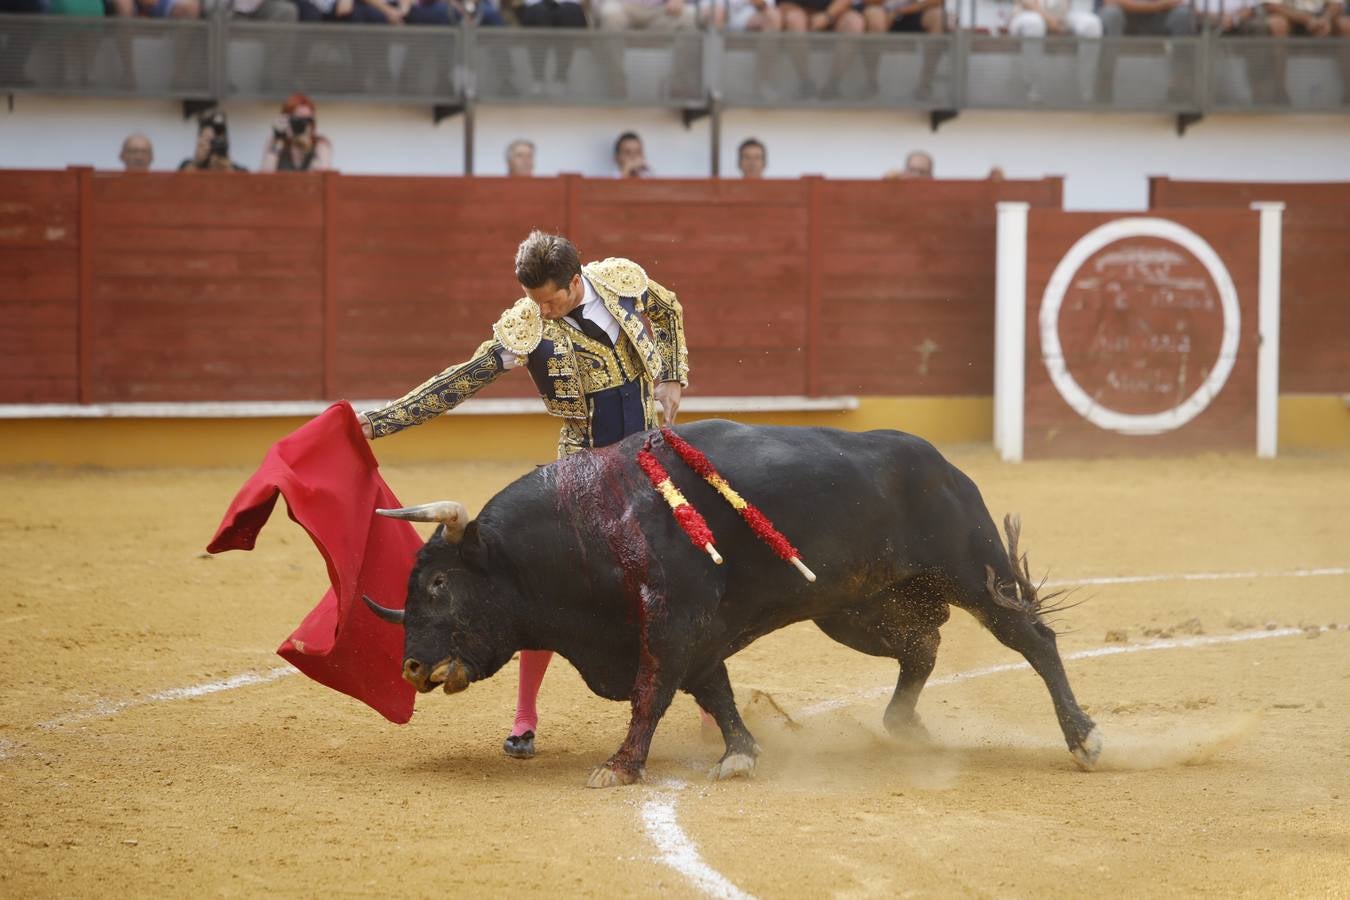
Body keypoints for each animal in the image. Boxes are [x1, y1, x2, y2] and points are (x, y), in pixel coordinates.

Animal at [367, 418, 1096, 782]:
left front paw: (620, 767)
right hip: (857, 609)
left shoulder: (673, 621)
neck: (589, 522)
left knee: (1031, 639)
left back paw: (1083, 738)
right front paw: (740, 752)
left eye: (438, 584)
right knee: (922, 648)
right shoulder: (692, 632)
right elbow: (712, 689)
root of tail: (945, 466)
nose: (410, 666)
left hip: (971, 570)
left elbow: (653, 692)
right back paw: (903, 726)